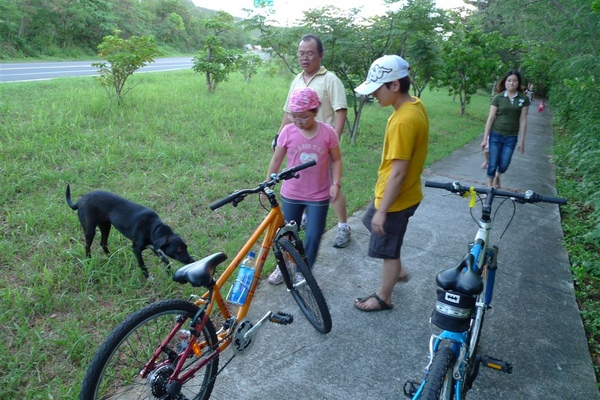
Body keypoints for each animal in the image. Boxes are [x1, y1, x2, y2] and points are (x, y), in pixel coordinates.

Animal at [67, 184, 195, 278]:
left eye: (186, 247)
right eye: (179, 250)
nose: (192, 260)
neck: (154, 228)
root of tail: (80, 201)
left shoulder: (155, 248)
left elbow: (166, 262)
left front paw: (170, 275)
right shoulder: (136, 249)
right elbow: (142, 265)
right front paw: (148, 278)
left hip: (106, 226)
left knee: (103, 243)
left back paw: (111, 258)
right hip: (90, 230)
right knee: (87, 246)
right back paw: (89, 261)